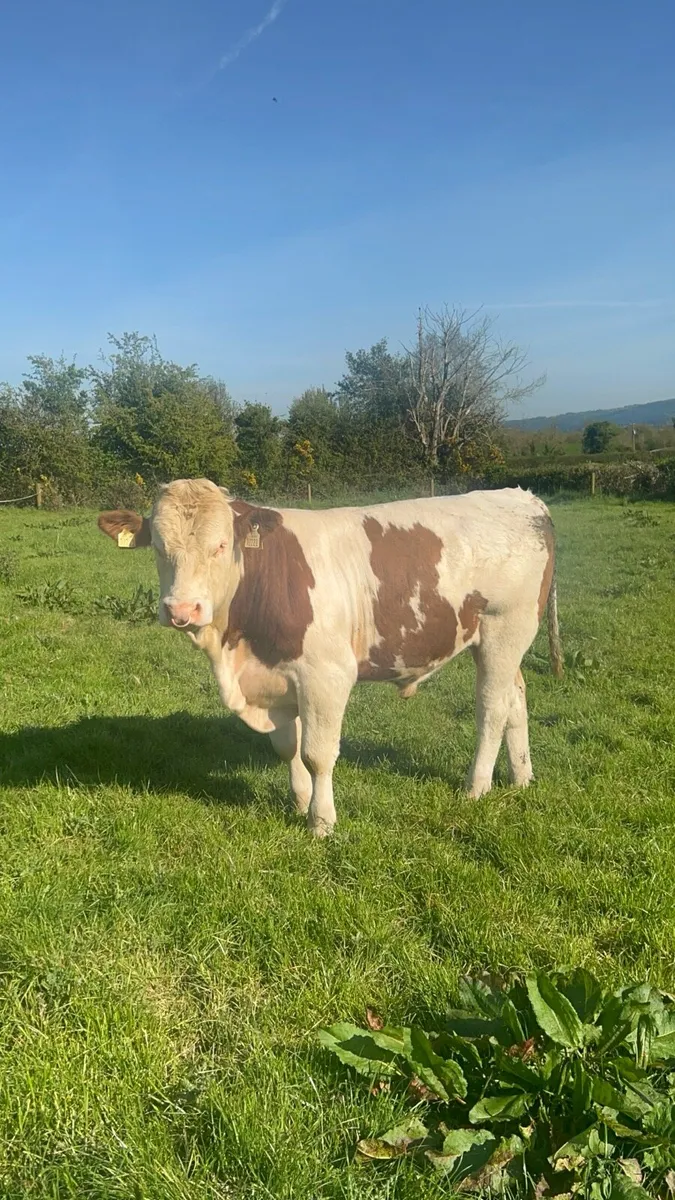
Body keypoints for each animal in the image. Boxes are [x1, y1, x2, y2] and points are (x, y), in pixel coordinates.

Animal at [98, 480, 563, 837]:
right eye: (158, 547)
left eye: (221, 545)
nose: (182, 610)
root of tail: (522, 497)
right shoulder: (278, 678)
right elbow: (287, 746)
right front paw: (299, 800)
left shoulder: (326, 675)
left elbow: (317, 753)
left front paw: (321, 821)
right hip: (501, 641)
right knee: (515, 698)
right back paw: (521, 777)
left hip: (506, 629)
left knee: (492, 707)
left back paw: (476, 786)